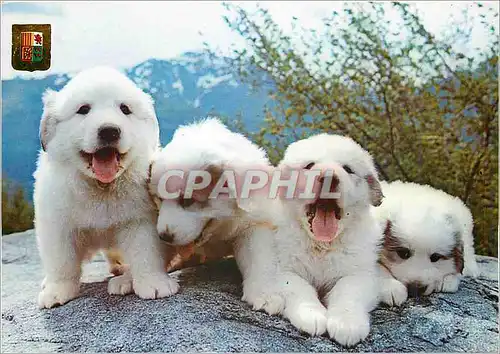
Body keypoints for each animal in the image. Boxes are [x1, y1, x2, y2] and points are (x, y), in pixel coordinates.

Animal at [33, 65, 178, 306]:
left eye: (125, 109)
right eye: (83, 109)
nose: (109, 130)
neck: (101, 186)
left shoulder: (141, 220)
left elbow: (146, 252)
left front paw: (154, 283)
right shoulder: (57, 223)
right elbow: (61, 261)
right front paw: (57, 291)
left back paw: (124, 279)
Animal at [148, 119, 286, 316]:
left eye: (188, 200)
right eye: (159, 198)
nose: (164, 236)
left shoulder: (253, 223)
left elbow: (259, 256)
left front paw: (266, 293)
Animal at [258, 134, 382, 348]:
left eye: (348, 169)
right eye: (309, 166)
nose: (329, 178)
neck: (321, 245)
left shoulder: (360, 273)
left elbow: (347, 290)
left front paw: (347, 324)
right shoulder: (281, 270)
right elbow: (299, 288)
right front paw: (311, 316)